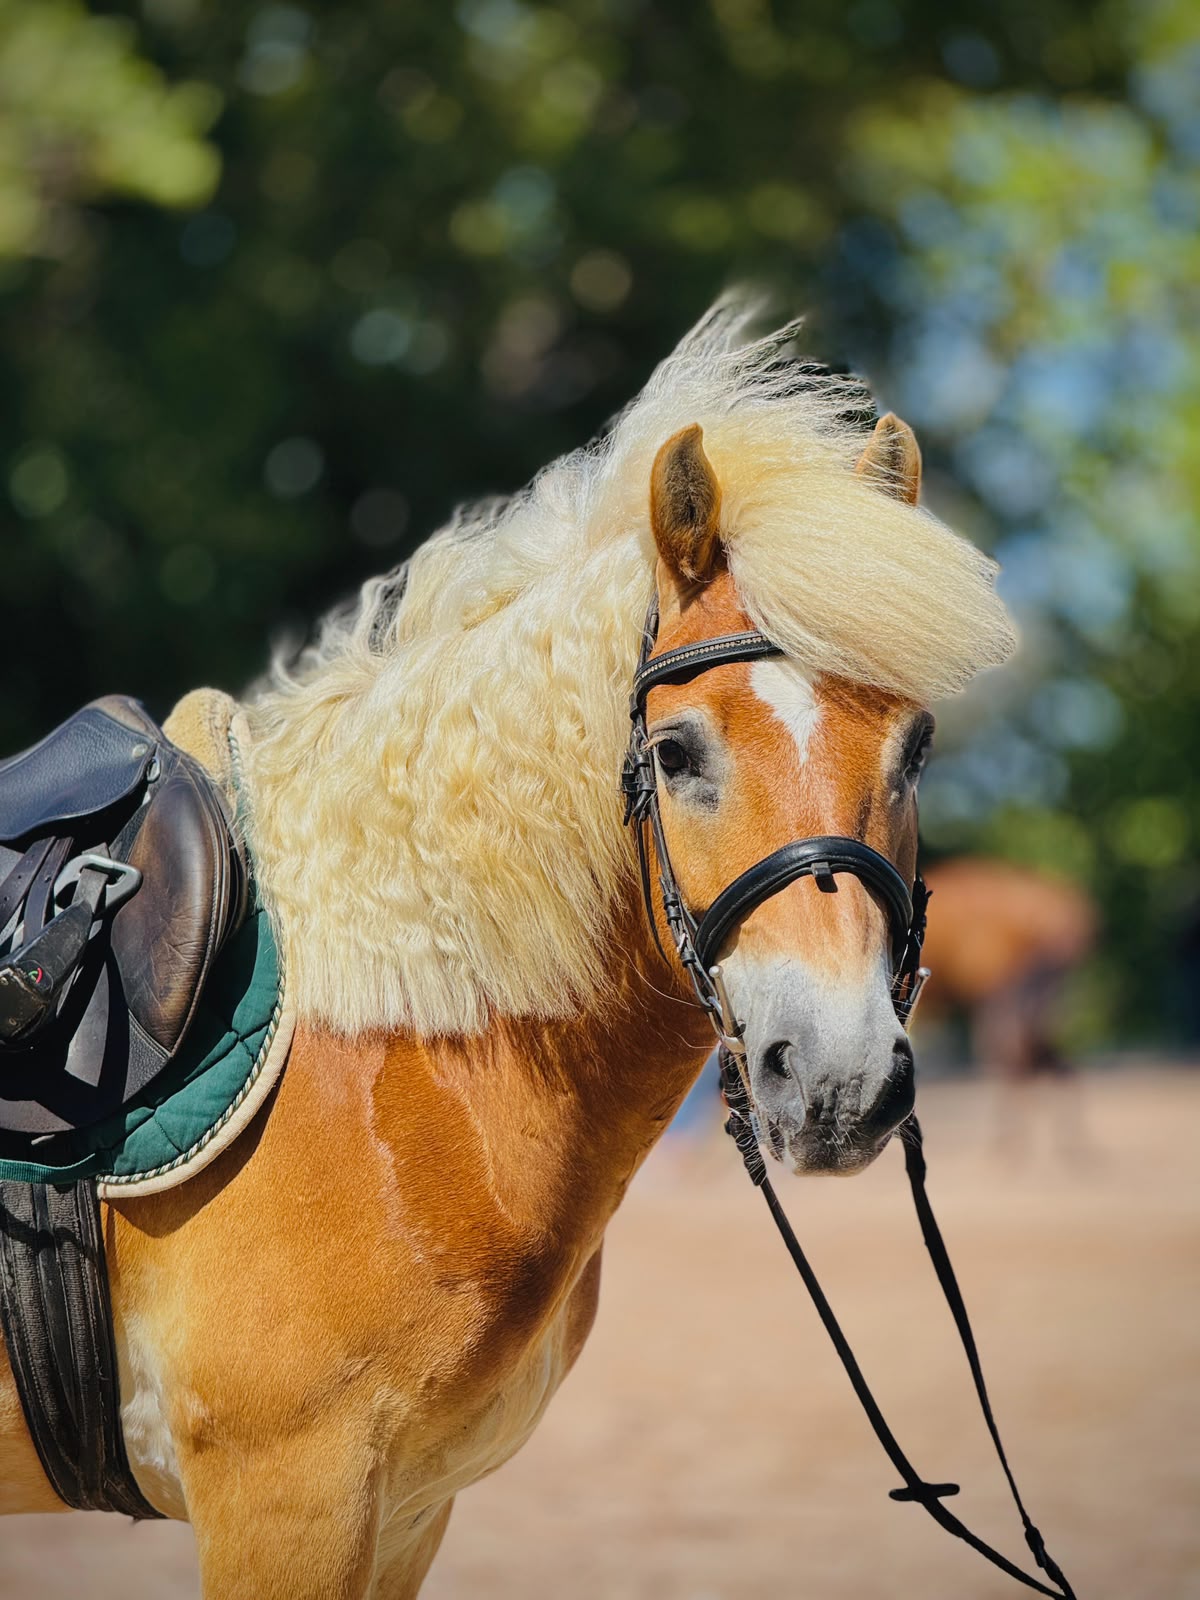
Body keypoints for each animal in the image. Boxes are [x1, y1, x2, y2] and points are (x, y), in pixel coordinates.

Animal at [0, 302, 1016, 1597]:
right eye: (677, 752)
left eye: (918, 747)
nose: (838, 1079)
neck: (390, 1044)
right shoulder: (286, 1499)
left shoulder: (408, 1508)